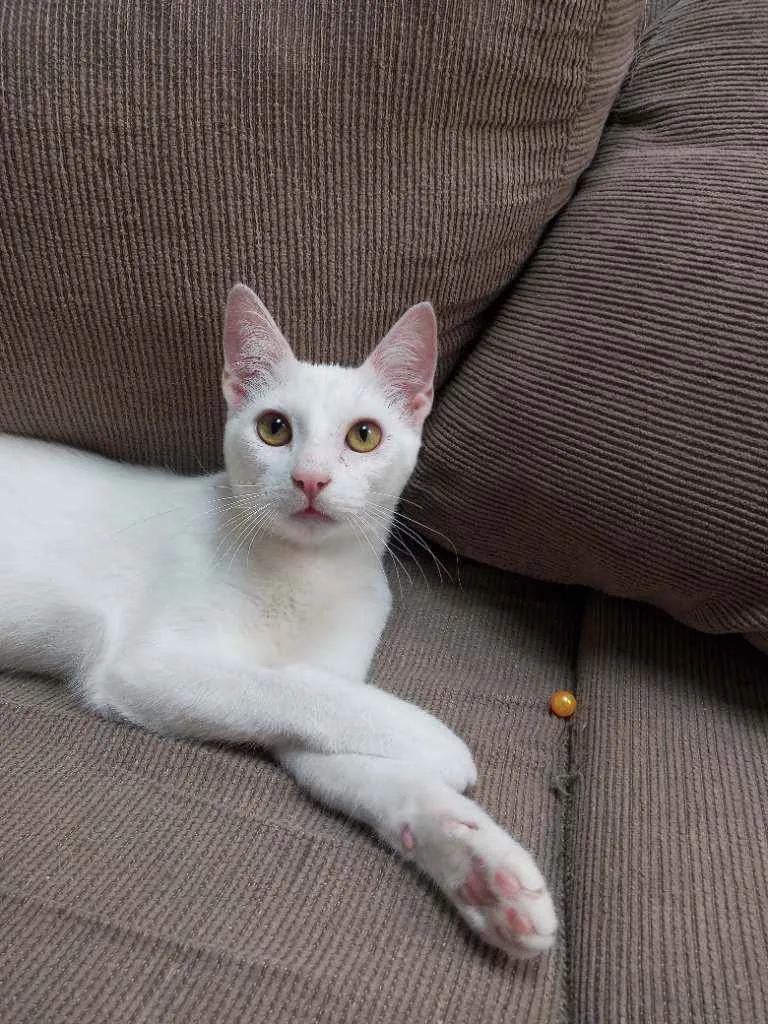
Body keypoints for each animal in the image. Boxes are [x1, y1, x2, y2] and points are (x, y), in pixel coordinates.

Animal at [0, 284, 557, 958]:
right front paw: (435, 740)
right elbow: (291, 687)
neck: (303, 575)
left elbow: (360, 758)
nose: (310, 478)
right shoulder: (143, 667)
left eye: (364, 436)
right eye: (274, 428)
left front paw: (484, 869)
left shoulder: (318, 714)